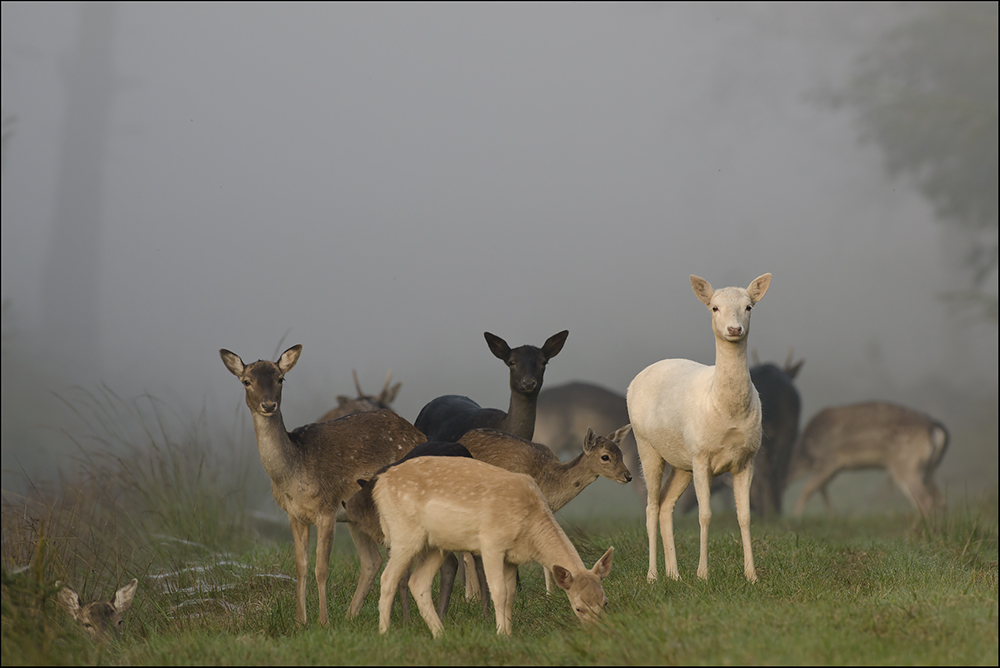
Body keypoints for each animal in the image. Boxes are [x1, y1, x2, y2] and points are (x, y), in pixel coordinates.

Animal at [219, 344, 426, 628]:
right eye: (246, 381)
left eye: (280, 378)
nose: (269, 404)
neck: (293, 472)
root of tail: (420, 434)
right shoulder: (294, 515)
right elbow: (301, 566)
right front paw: (300, 621)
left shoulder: (326, 509)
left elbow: (322, 568)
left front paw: (323, 621)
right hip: (356, 518)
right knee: (373, 561)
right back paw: (352, 616)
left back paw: (405, 618)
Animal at [372, 456, 612, 640]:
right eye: (578, 607)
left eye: (605, 602)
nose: (597, 633)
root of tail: (379, 486)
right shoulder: (491, 544)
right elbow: (499, 591)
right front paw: (500, 635)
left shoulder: (512, 557)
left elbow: (511, 594)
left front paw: (508, 634)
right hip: (404, 533)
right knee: (388, 578)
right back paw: (385, 634)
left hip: (436, 545)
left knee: (418, 582)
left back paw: (441, 634)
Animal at [624, 274, 772, 580]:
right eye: (714, 307)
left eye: (749, 306)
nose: (734, 328)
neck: (725, 411)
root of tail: (633, 383)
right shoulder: (701, 454)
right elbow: (705, 514)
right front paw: (703, 574)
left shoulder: (747, 458)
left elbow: (745, 516)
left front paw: (752, 575)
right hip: (646, 444)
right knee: (651, 505)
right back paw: (653, 576)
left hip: (682, 462)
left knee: (666, 505)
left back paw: (674, 575)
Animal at [788, 402, 952, 516]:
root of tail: (933, 427)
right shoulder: (834, 468)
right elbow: (821, 488)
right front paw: (833, 516)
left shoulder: (828, 460)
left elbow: (808, 489)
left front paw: (796, 517)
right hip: (928, 468)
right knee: (940, 500)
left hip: (905, 462)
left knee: (923, 500)